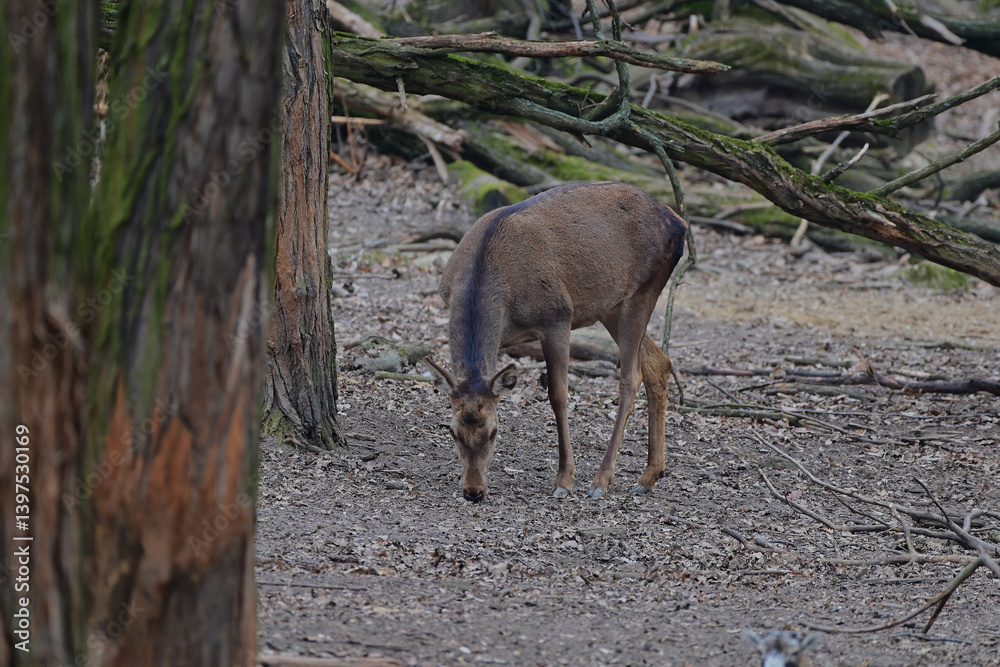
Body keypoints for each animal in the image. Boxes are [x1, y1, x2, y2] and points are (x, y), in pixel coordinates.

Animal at [425, 182, 687, 503]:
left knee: (631, 377)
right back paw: (649, 476)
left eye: (494, 431)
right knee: (658, 363)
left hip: (643, 290)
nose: (473, 492)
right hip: (611, 306)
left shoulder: (558, 318)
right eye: (452, 431)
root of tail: (680, 222)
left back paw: (602, 480)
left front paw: (564, 480)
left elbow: (558, 395)